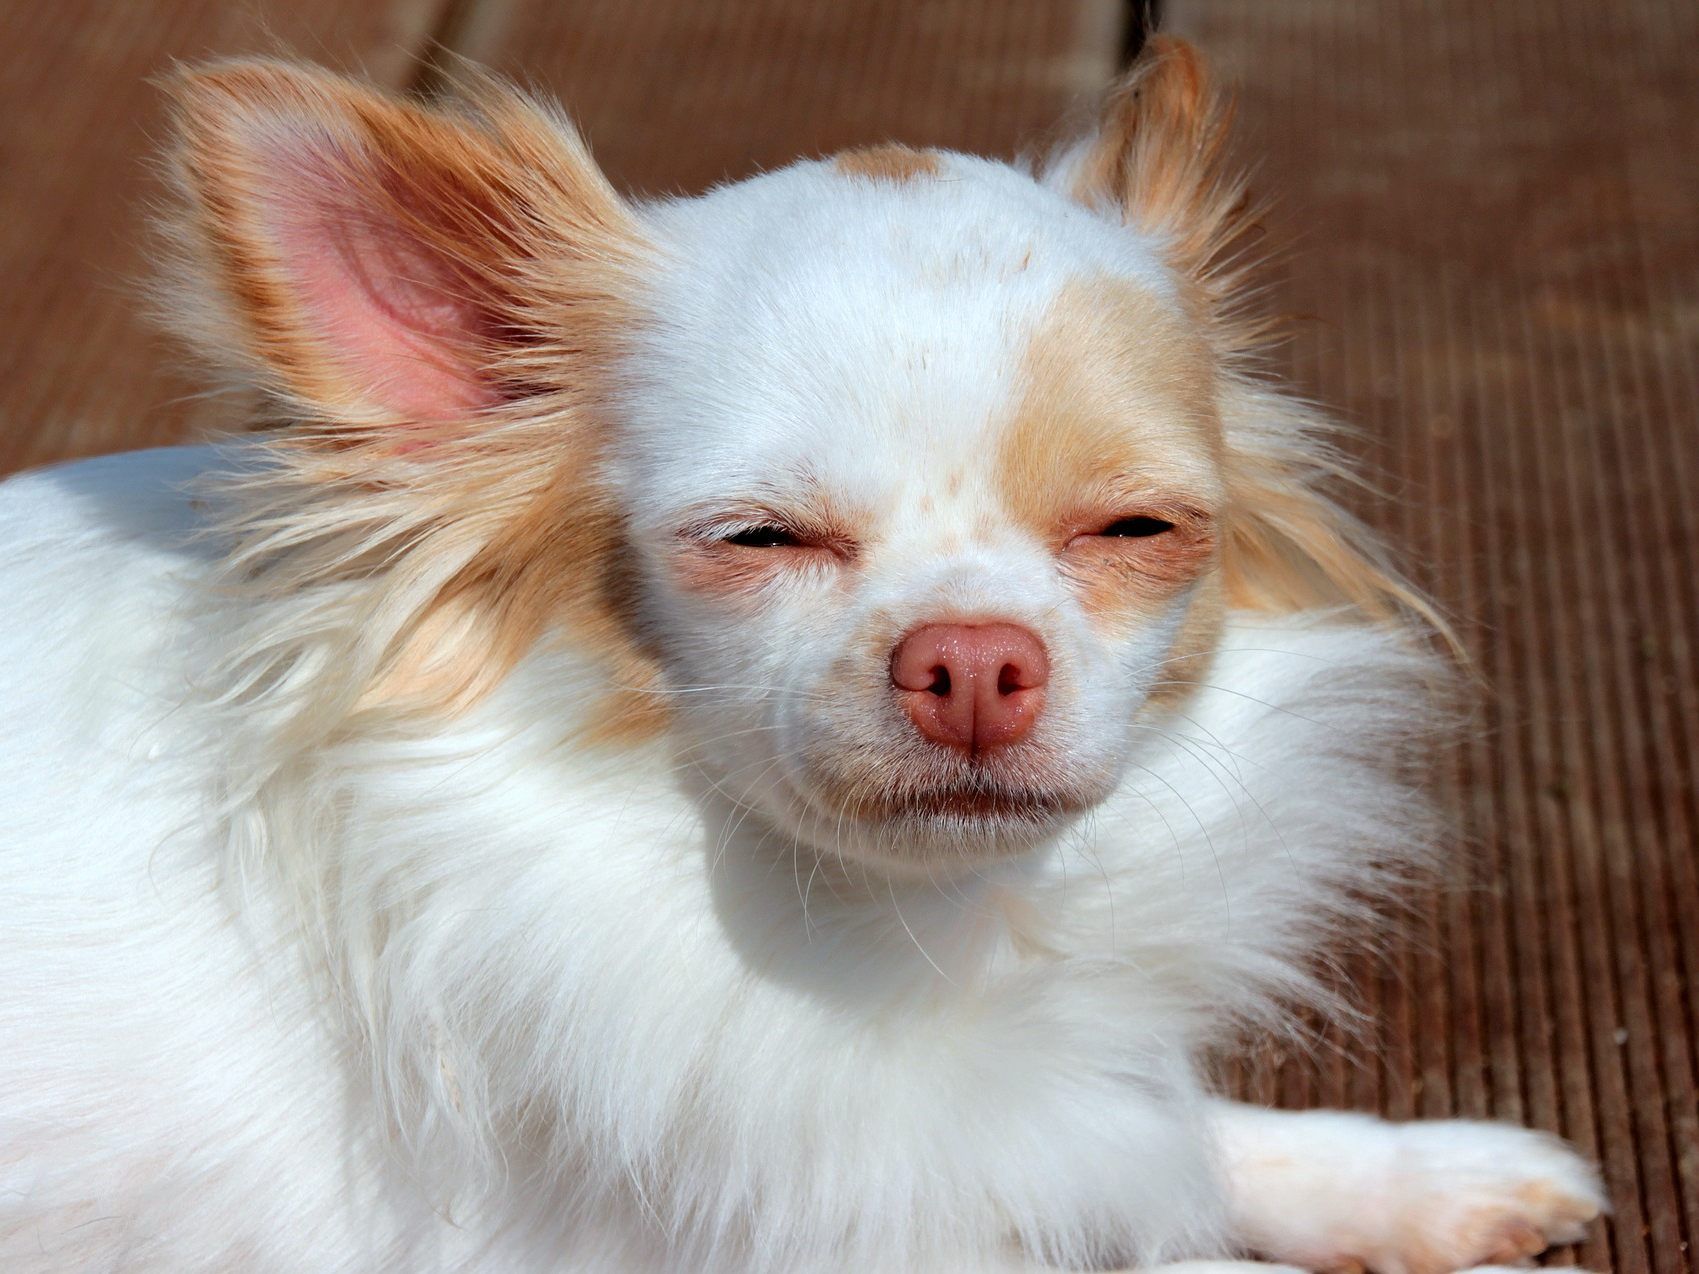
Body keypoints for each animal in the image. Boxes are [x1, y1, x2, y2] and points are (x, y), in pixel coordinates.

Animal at [0, 39, 1603, 1274]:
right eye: (759, 537)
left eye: (1133, 526)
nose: (973, 657)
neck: (892, 926)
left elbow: (1151, 1120)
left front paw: (1411, 1172)